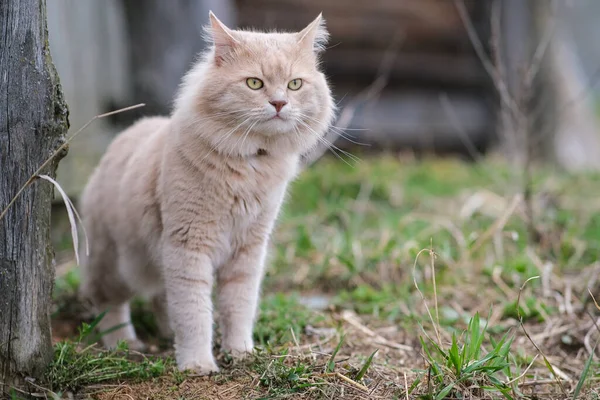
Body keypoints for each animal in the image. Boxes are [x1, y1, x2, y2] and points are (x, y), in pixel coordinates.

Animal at [77, 11, 336, 376]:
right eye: (254, 84)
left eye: (295, 84)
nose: (279, 103)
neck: (250, 163)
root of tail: (120, 140)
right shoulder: (189, 246)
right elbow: (193, 312)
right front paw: (197, 364)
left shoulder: (248, 250)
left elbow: (237, 307)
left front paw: (239, 352)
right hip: (119, 264)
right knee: (108, 302)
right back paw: (124, 344)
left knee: (160, 299)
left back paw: (164, 333)